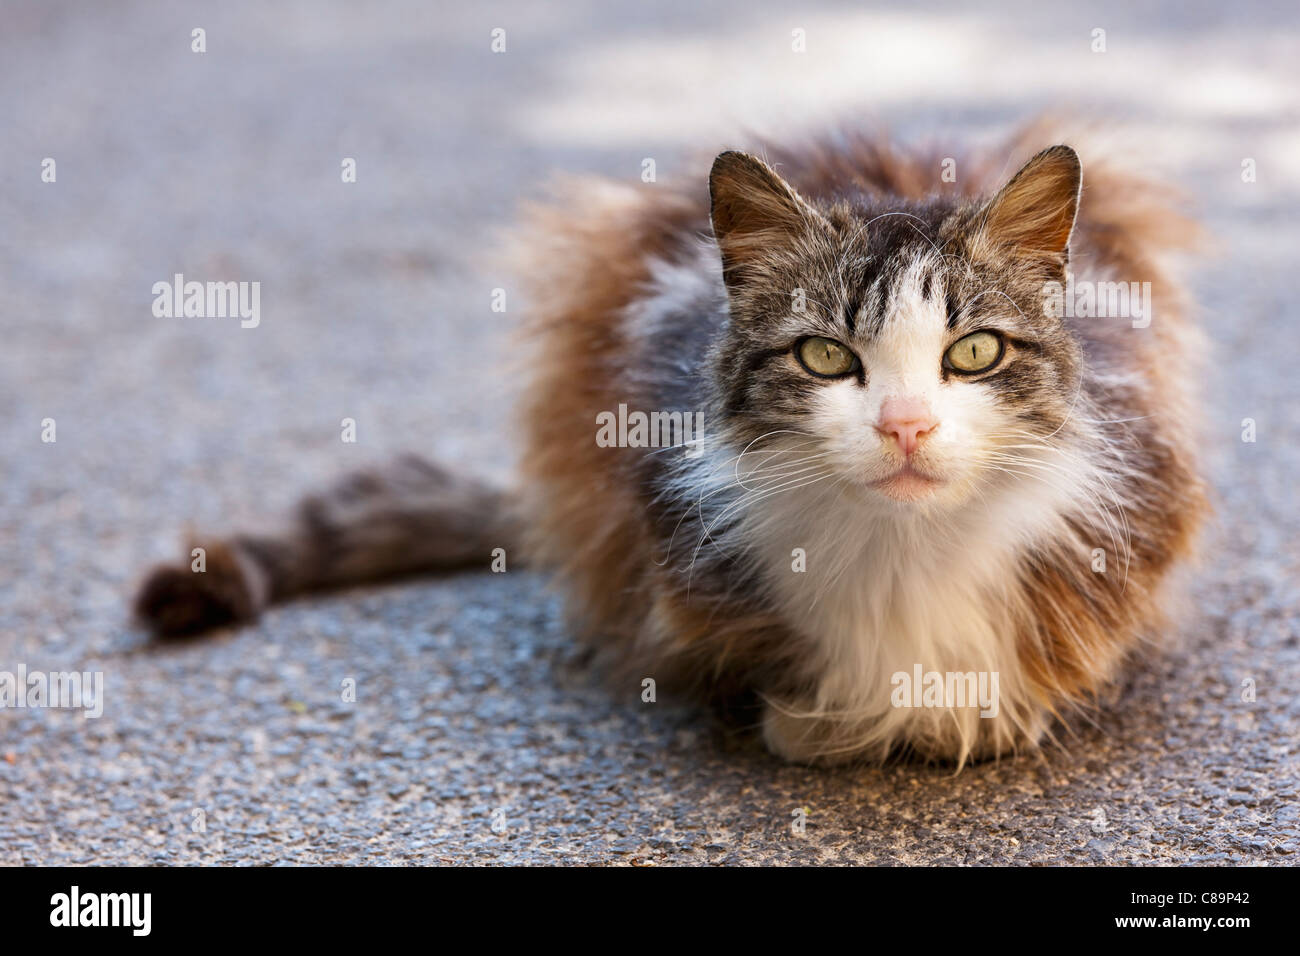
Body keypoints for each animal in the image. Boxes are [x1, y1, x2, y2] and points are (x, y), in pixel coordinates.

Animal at [134, 123, 1206, 770]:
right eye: (826, 356)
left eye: (975, 352)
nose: (905, 424)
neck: (905, 555)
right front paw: (817, 719)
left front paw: (973, 714)